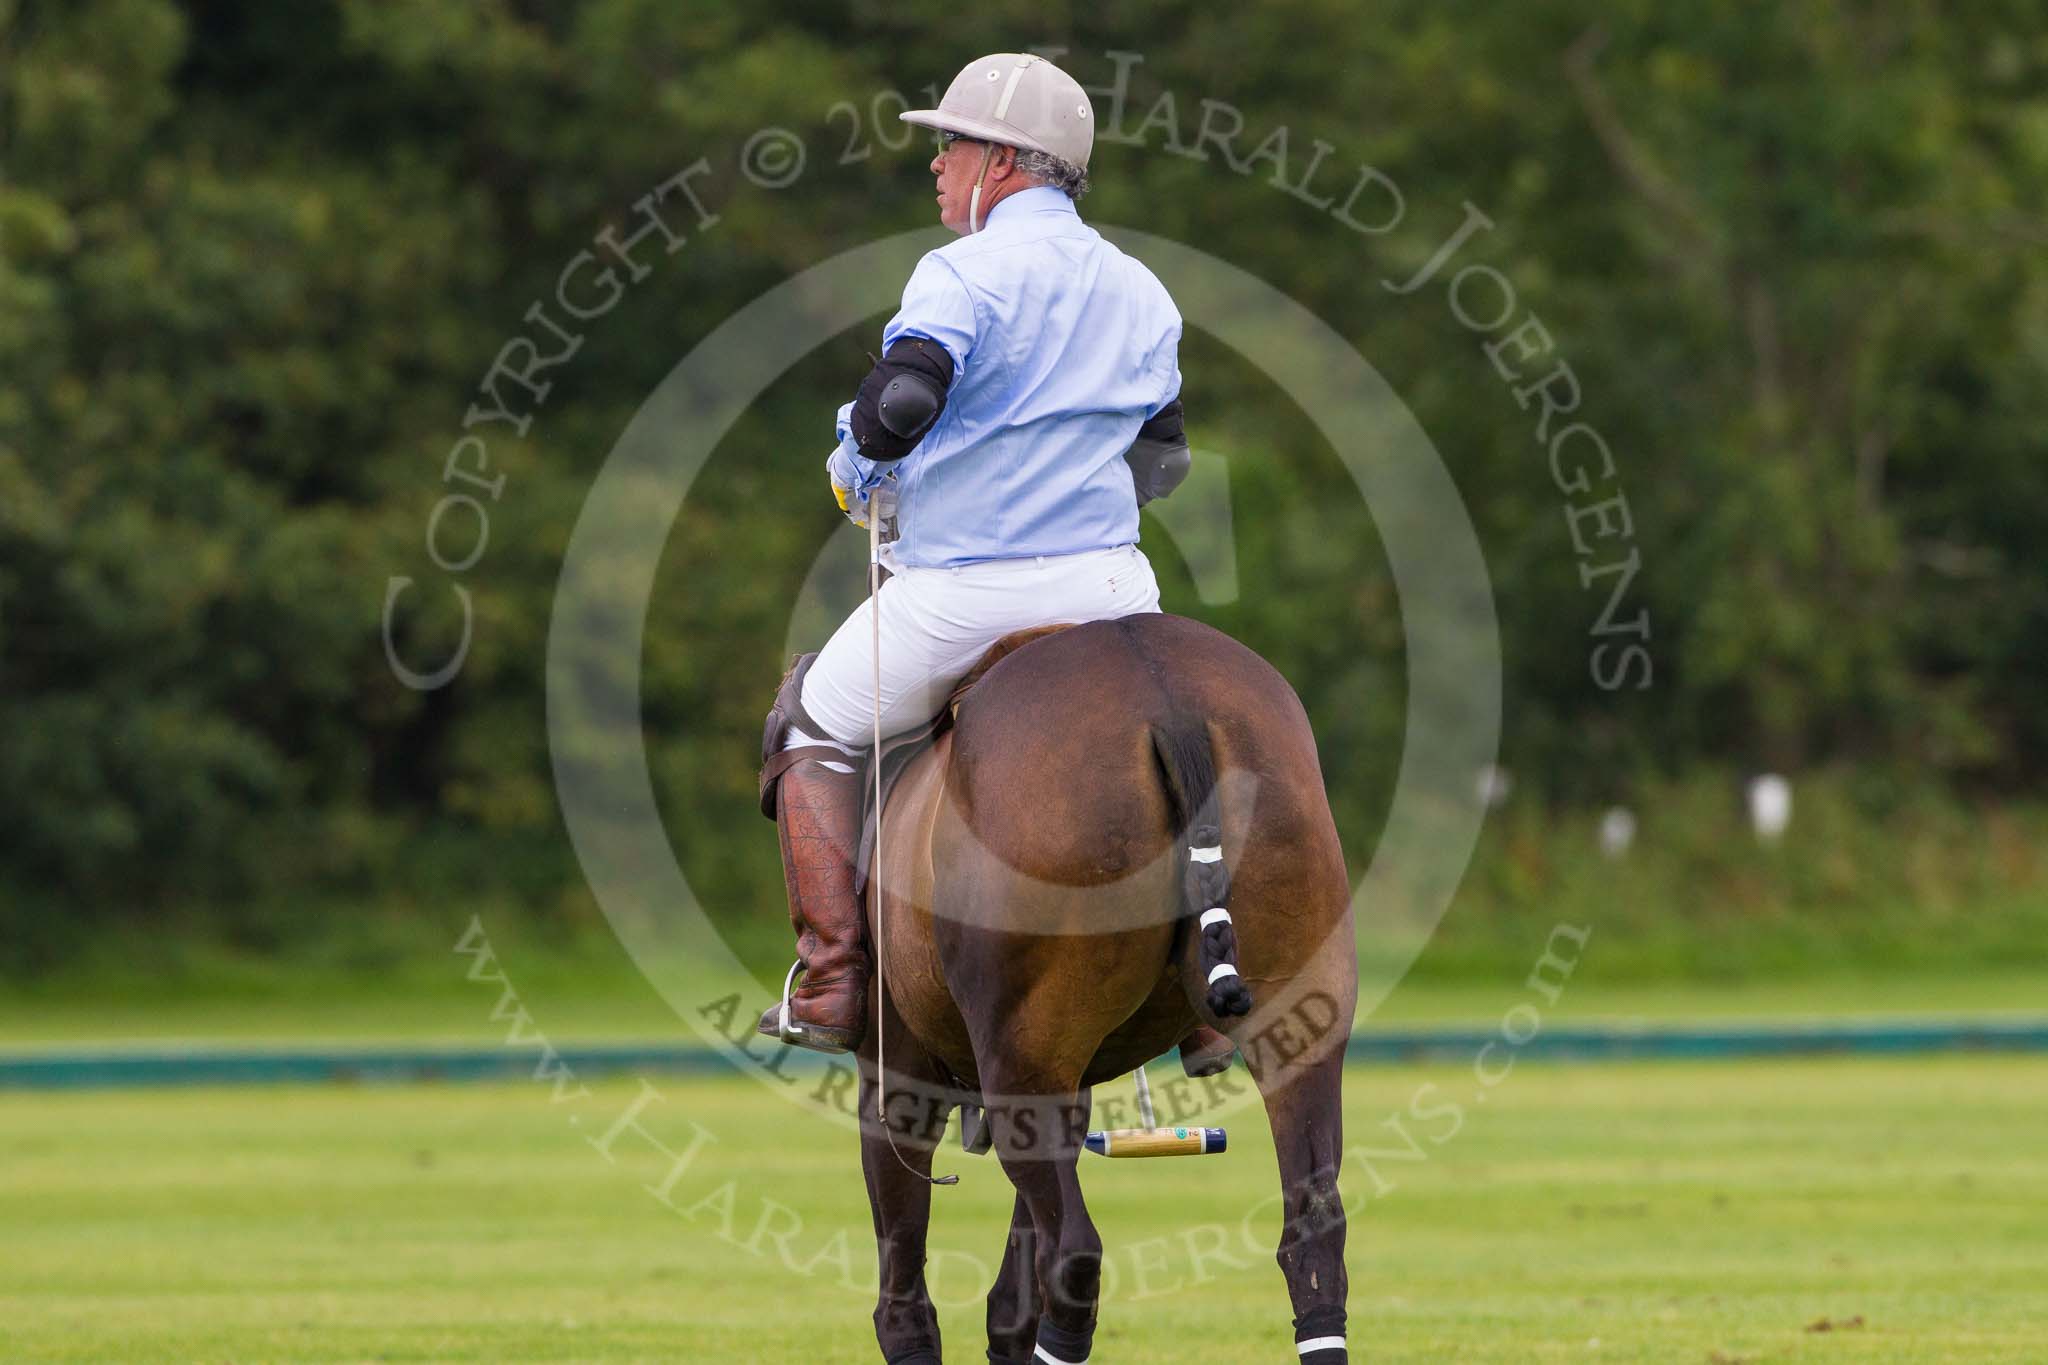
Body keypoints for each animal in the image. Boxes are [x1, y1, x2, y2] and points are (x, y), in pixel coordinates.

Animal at [842, 611, 1357, 1365]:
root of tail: (1170, 705)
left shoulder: (900, 1061)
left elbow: (910, 1283)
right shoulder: (1069, 1075)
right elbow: (1010, 1299)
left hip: (1018, 1055)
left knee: (1075, 1254)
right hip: (1300, 1014)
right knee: (1313, 1227)